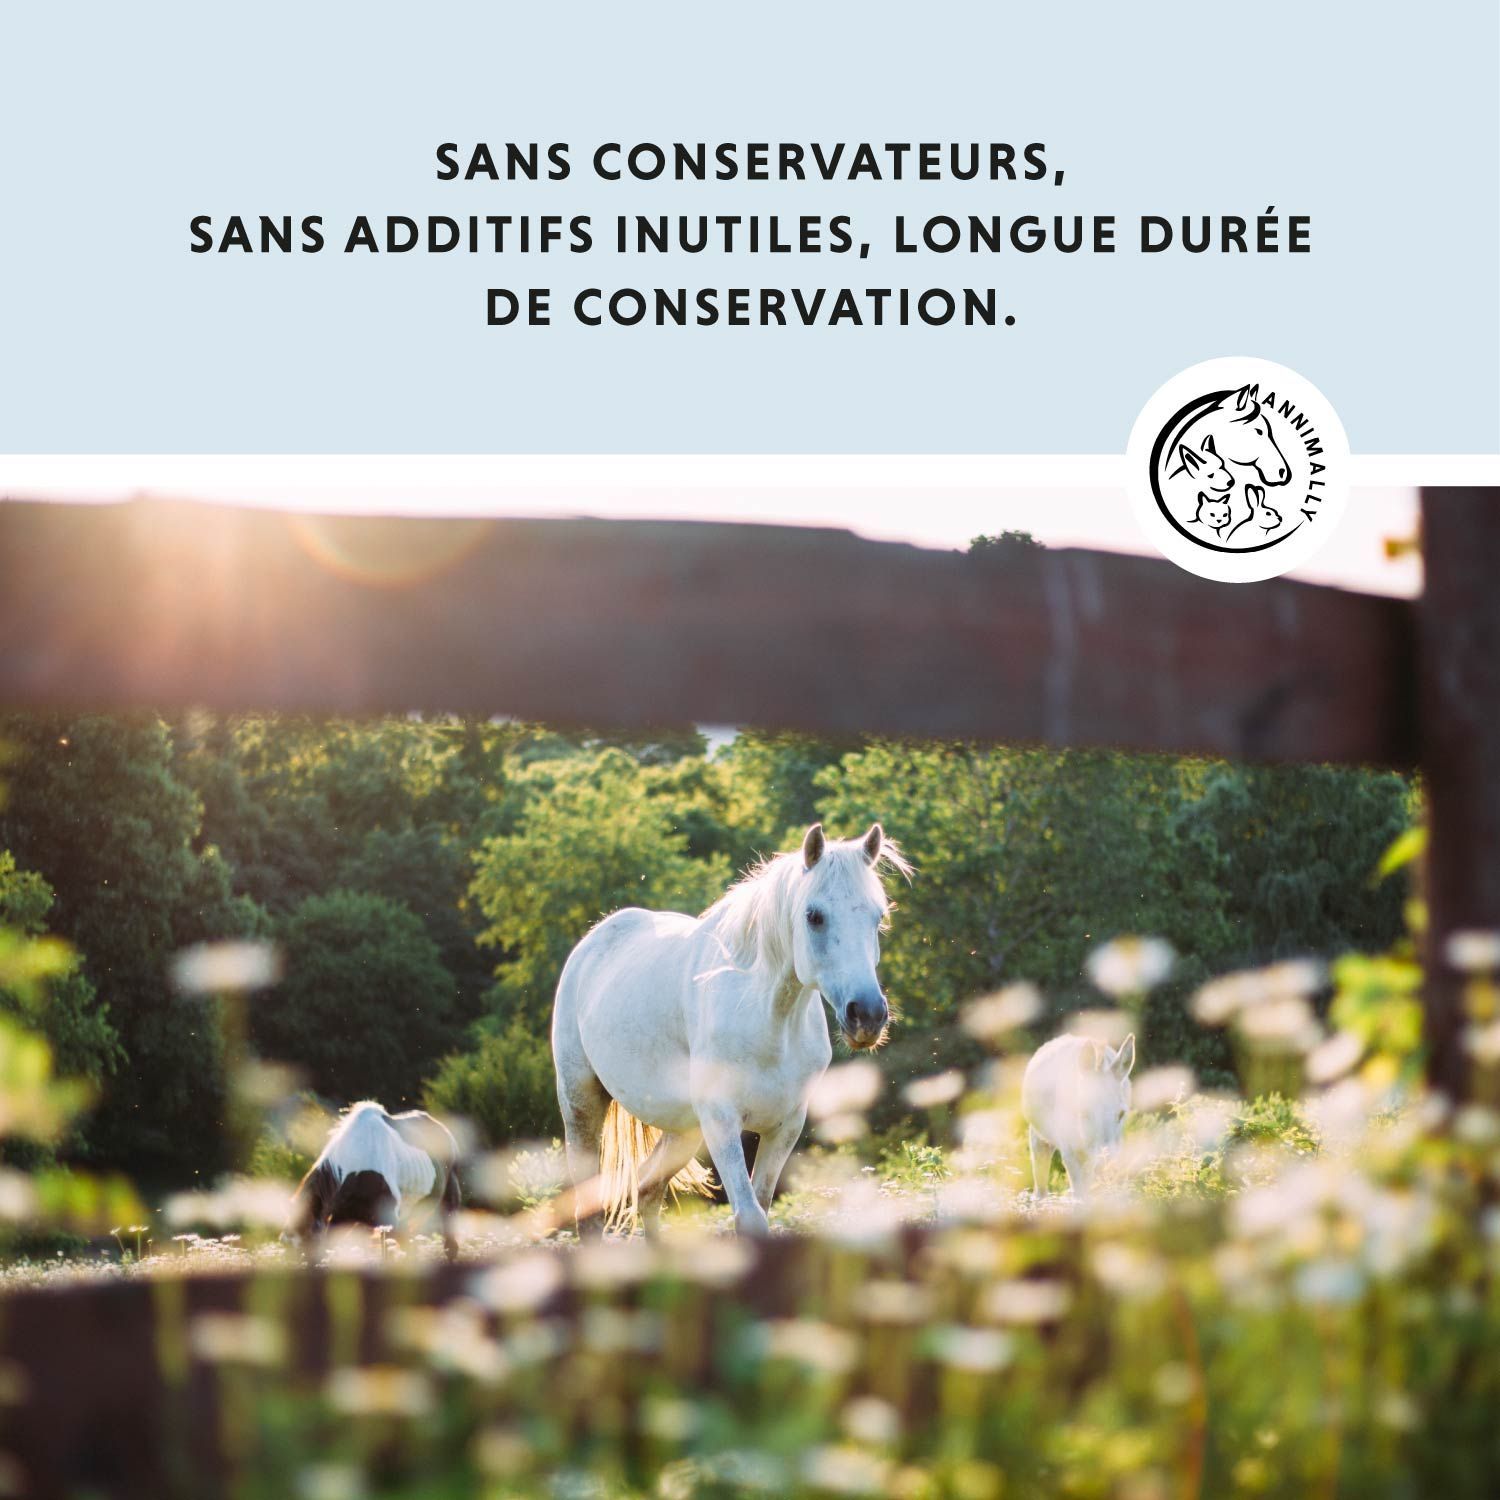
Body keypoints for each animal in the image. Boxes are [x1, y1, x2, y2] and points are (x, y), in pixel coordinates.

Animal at [552, 822, 910, 1237]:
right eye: (814, 916)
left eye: (877, 917)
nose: (867, 1015)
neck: (769, 1024)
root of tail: (593, 941)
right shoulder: (722, 1121)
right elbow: (750, 1216)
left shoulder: (785, 1126)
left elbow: (762, 1205)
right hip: (581, 1104)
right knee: (589, 1209)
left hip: (685, 1130)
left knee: (648, 1189)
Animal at [1022, 1033, 1135, 1198]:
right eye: (1084, 1112)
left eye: (1121, 1114)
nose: (1106, 1165)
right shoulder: (1070, 1154)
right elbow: (1081, 1197)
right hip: (1039, 1138)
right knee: (1040, 1187)